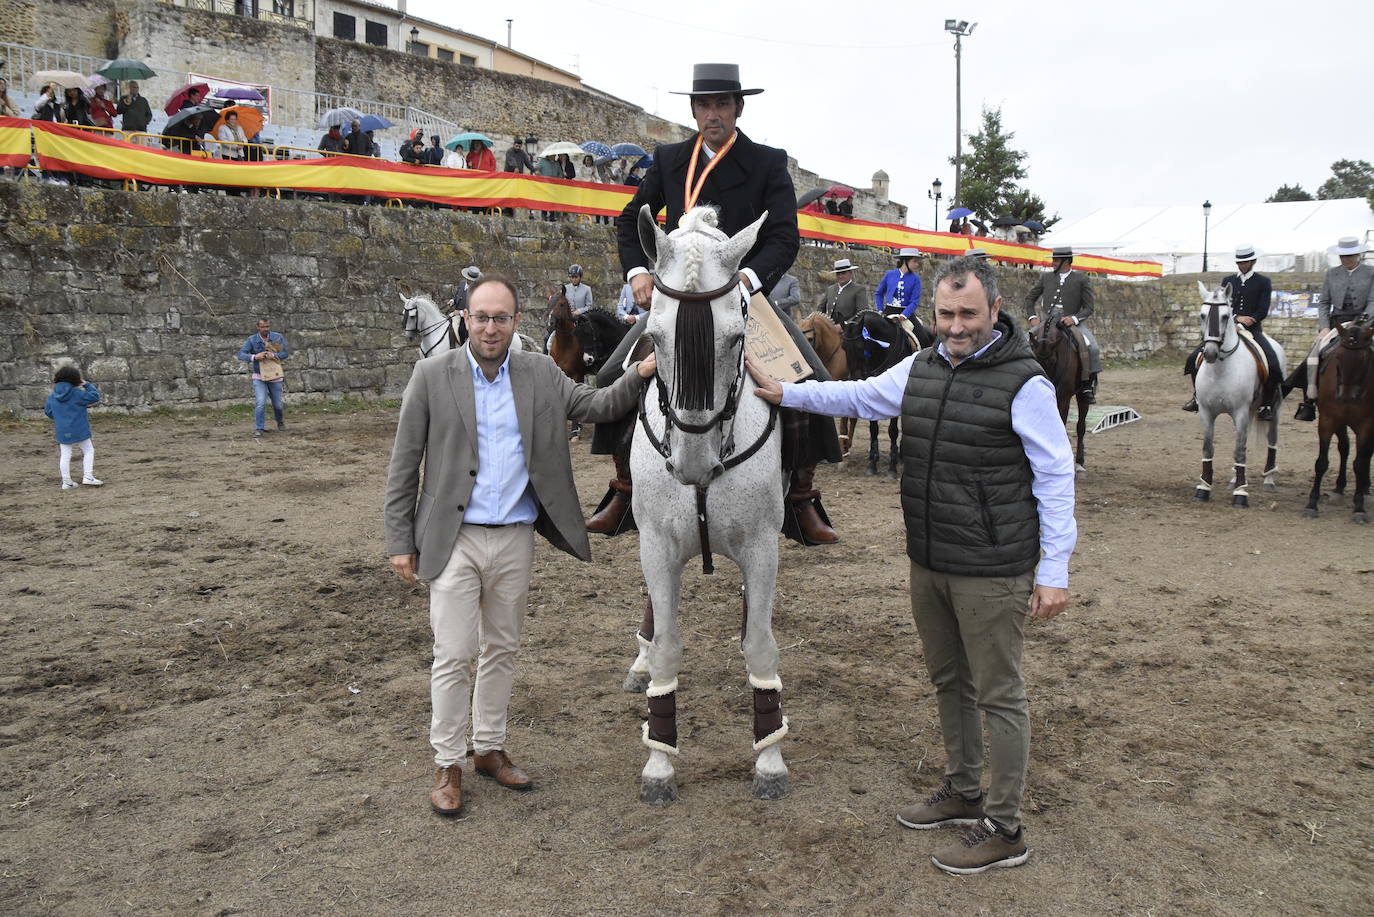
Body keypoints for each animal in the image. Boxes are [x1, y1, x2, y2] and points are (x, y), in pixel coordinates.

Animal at [629, 206, 791, 802]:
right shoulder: (655, 546)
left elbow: (762, 646)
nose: (692, 464)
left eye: (736, 336)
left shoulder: (763, 548)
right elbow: (668, 646)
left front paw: (769, 758)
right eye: (654, 336)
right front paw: (659, 762)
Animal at [1033, 312, 1088, 478]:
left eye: (1052, 362)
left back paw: (1079, 463)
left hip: (1082, 396)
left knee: (1081, 426)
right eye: (1034, 359)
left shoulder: (1063, 398)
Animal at [1192, 281, 1286, 508]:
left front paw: (1241, 494)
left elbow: (1240, 449)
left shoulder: (1241, 412)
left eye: (1226, 316)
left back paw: (1268, 479)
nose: (1210, 353)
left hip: (1273, 411)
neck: (1220, 368)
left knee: (1272, 440)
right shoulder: (1206, 412)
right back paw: (1234, 477)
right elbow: (1208, 448)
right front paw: (1203, 488)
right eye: (1202, 315)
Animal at [1297, 323, 1374, 522]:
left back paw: (1365, 490)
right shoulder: (1329, 419)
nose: (1345, 396)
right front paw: (1312, 505)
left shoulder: (1367, 424)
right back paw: (1339, 488)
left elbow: (1360, 463)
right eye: (1338, 356)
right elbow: (1321, 462)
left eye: (1364, 359)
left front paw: (1359, 507)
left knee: (1366, 454)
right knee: (1344, 447)